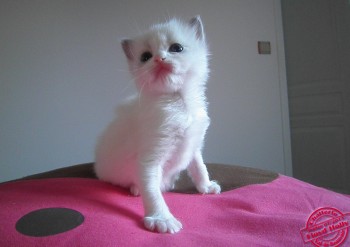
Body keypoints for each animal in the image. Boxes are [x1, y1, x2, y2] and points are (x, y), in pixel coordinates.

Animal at [94, 15, 220, 233]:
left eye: (176, 48)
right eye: (146, 57)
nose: (159, 58)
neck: (179, 103)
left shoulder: (194, 146)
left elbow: (199, 167)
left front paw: (206, 186)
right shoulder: (150, 158)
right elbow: (152, 191)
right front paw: (162, 219)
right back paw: (137, 188)